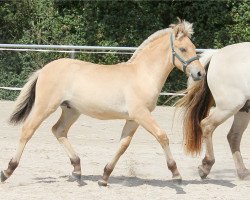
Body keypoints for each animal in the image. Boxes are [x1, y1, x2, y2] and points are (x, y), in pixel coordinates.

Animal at [1, 19, 205, 185]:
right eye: (183, 49)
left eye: (193, 47)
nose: (200, 73)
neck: (143, 74)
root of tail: (44, 70)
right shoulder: (141, 114)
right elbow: (162, 136)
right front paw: (176, 174)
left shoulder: (133, 119)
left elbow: (123, 145)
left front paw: (104, 177)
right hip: (45, 106)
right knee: (28, 130)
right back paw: (7, 171)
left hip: (71, 110)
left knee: (58, 130)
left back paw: (77, 170)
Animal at [178, 42, 250, 180]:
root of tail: (216, 54)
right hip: (229, 106)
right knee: (207, 125)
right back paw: (206, 166)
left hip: (244, 109)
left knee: (234, 135)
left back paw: (243, 172)